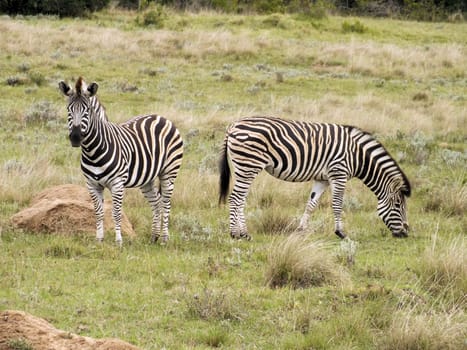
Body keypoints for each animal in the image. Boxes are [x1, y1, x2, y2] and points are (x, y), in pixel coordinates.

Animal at [58, 77, 183, 245]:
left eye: (87, 110)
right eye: (68, 109)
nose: (76, 137)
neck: (93, 151)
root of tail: (161, 117)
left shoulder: (117, 183)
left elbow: (116, 213)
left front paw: (118, 241)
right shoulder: (92, 185)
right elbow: (98, 212)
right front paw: (99, 240)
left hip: (169, 171)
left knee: (166, 203)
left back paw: (164, 238)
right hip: (147, 178)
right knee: (156, 202)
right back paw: (154, 237)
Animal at [218, 116, 412, 239]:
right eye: (398, 206)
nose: (405, 233)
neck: (357, 156)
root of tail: (233, 126)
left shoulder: (322, 179)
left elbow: (311, 204)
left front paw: (301, 230)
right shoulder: (338, 173)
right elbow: (337, 204)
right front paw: (340, 232)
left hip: (245, 168)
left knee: (241, 199)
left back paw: (244, 233)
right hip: (248, 165)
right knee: (235, 198)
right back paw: (235, 234)